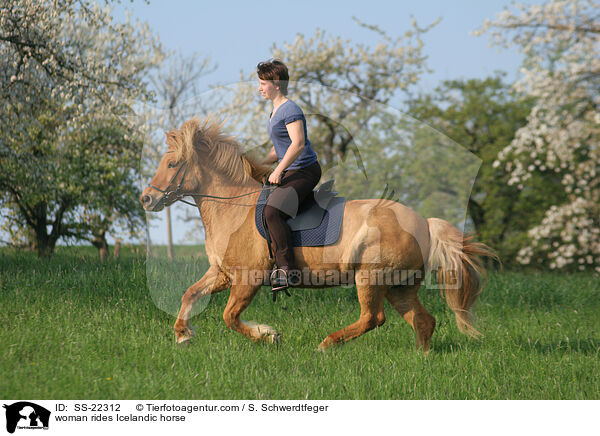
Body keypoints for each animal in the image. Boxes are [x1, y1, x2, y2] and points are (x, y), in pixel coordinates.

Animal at [142, 117, 496, 352]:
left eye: (172, 164)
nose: (146, 199)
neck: (234, 209)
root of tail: (423, 222)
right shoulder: (222, 273)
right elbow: (190, 294)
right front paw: (182, 334)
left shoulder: (247, 277)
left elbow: (230, 317)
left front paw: (268, 335)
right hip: (400, 285)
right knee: (423, 320)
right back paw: (421, 358)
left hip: (371, 278)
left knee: (373, 317)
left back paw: (327, 344)